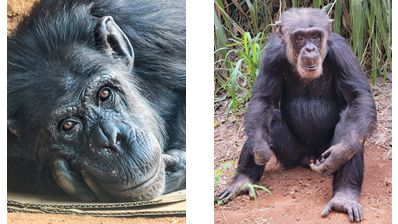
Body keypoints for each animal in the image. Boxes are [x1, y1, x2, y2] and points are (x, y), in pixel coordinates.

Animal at [219, 7, 378, 222]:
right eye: (300, 37)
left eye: (316, 36)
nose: (310, 49)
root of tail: (310, 157)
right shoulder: (270, 55)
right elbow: (263, 100)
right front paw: (259, 148)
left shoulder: (342, 51)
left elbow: (358, 98)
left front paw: (341, 152)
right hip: (293, 155)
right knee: (267, 121)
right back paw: (242, 180)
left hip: (323, 153)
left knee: (353, 131)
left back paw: (344, 197)